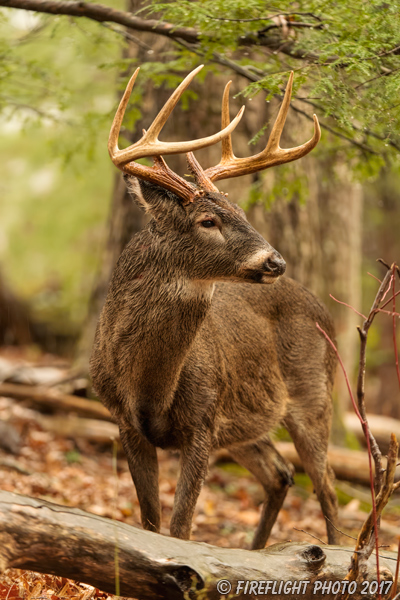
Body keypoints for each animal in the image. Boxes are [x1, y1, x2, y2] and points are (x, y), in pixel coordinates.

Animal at [90, 65, 338, 548]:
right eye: (208, 220)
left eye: (242, 211)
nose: (274, 261)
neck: (149, 384)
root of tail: (325, 313)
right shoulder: (125, 423)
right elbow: (150, 524)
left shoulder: (204, 421)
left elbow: (181, 528)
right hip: (245, 424)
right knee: (280, 474)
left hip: (314, 395)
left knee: (329, 490)